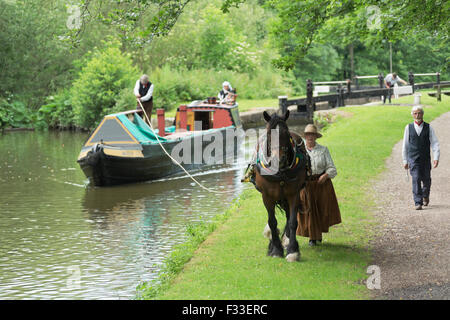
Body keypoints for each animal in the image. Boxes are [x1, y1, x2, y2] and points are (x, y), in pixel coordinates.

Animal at [255, 110, 308, 262]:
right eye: (269, 134)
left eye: (286, 133)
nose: (278, 159)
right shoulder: (267, 196)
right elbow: (272, 222)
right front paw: (276, 249)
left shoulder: (294, 193)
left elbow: (293, 221)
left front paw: (292, 250)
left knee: (289, 215)